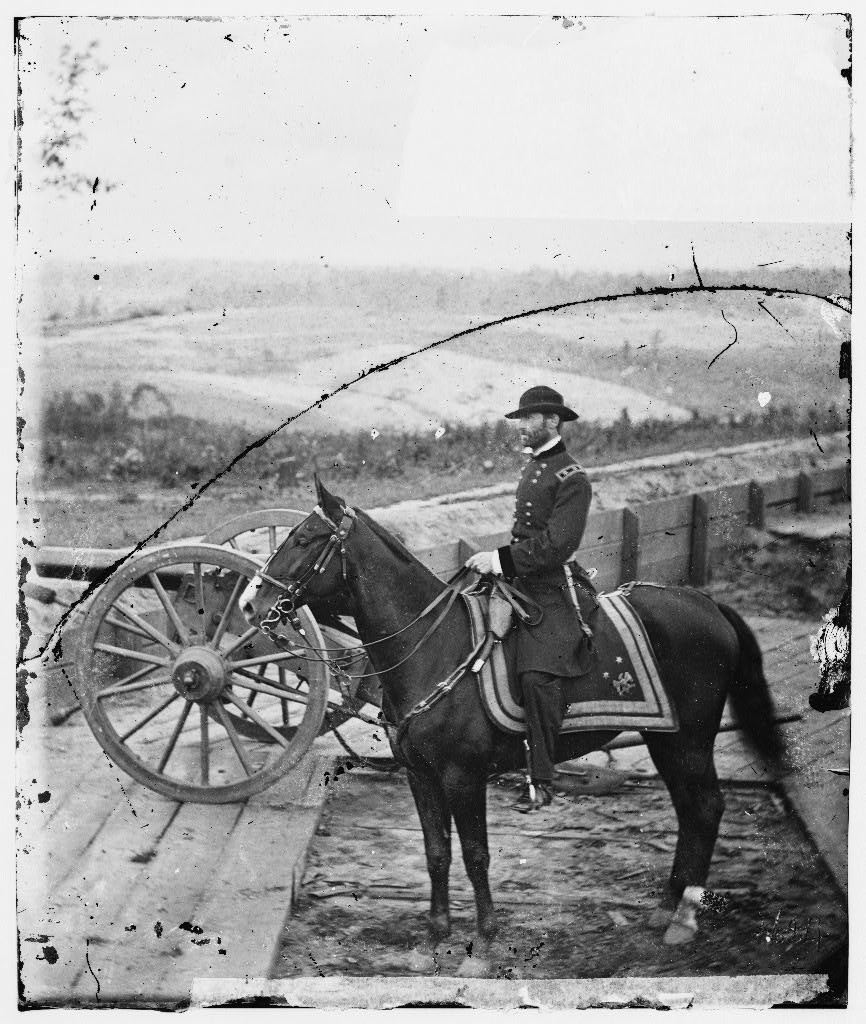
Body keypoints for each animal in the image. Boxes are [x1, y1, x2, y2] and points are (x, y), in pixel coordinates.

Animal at [239, 479, 786, 974]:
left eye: (304, 539)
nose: (250, 603)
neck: (434, 647)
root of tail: (706, 603)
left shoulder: (463, 777)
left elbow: (475, 855)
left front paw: (481, 947)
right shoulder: (420, 776)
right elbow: (436, 853)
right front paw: (432, 940)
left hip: (690, 740)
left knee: (707, 808)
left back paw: (686, 917)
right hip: (665, 740)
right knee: (690, 811)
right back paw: (666, 909)